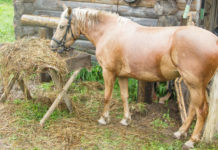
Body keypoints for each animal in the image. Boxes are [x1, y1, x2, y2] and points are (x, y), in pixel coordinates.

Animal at [50, 5, 218, 149]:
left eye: (62, 26)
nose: (53, 46)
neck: (109, 31)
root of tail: (214, 40)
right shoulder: (122, 76)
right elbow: (124, 96)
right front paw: (126, 119)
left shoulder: (108, 72)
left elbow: (107, 96)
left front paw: (104, 118)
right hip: (193, 84)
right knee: (193, 108)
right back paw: (180, 132)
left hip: (195, 84)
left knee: (201, 110)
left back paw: (191, 141)